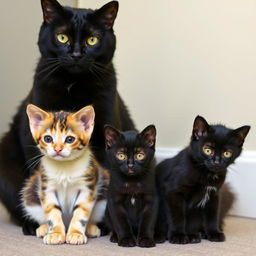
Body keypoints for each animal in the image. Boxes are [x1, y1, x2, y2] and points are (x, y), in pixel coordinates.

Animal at [20, 104, 107, 244]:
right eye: (48, 138)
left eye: (70, 139)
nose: (57, 149)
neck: (64, 168)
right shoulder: (47, 187)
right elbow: (52, 210)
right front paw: (55, 233)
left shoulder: (87, 187)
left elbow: (81, 210)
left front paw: (76, 233)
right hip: (30, 193)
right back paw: (44, 228)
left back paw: (90, 228)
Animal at [154, 115, 250, 244]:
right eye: (207, 150)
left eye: (227, 153)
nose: (216, 162)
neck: (207, 174)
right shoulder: (173, 192)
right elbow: (178, 216)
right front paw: (179, 235)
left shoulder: (214, 195)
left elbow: (212, 216)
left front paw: (213, 233)